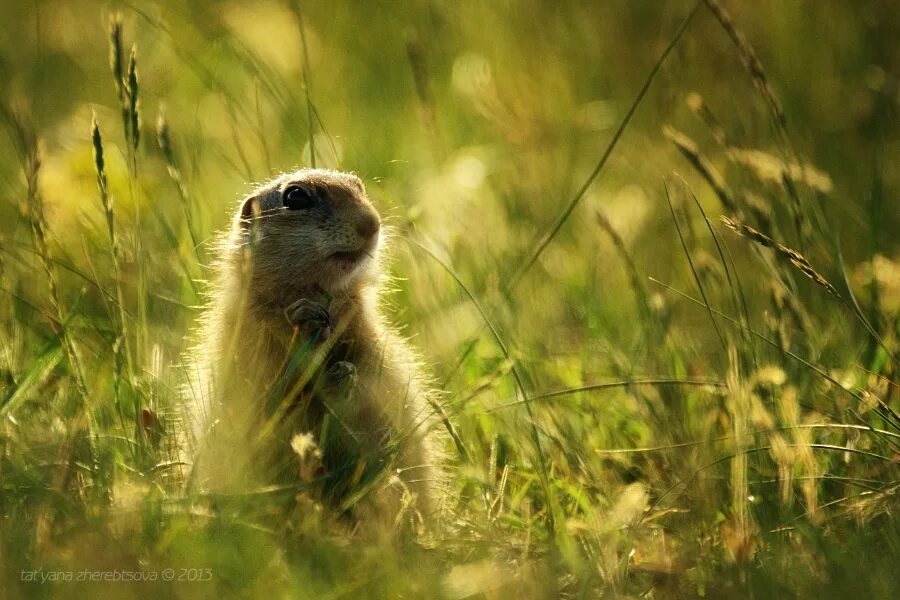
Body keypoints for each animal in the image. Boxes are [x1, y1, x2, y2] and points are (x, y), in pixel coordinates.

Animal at [187, 168, 442, 524]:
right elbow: (270, 408)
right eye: (295, 196)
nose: (371, 223)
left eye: (359, 186)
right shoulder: (245, 351)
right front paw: (305, 321)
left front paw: (343, 376)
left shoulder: (378, 361)